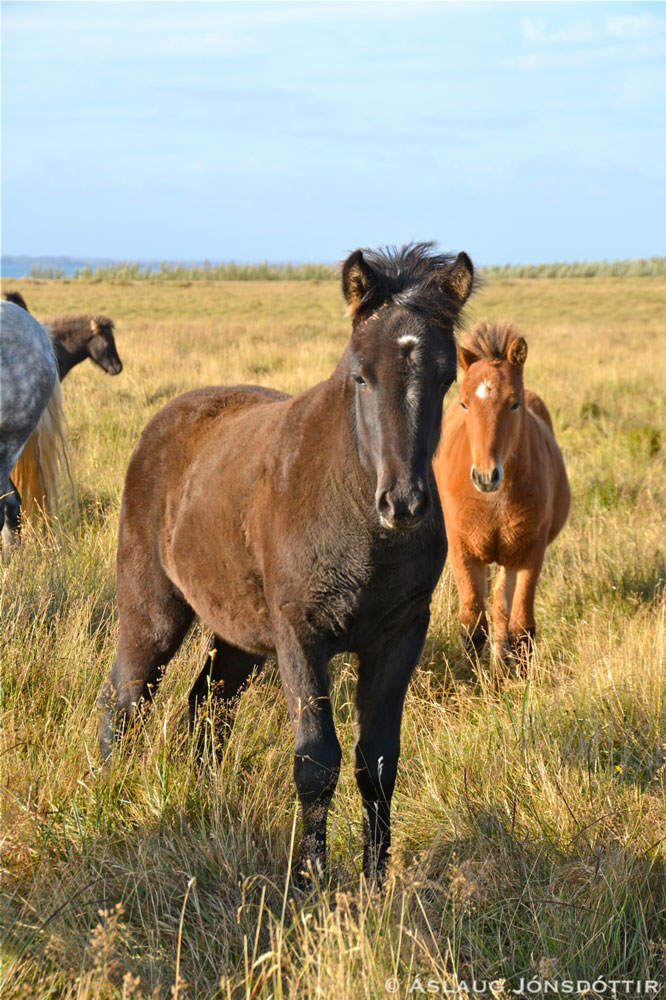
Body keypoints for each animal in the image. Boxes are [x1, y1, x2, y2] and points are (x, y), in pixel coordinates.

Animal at [99, 242, 475, 882]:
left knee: (207, 708)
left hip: (239, 636)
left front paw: (374, 883)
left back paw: (211, 805)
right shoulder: (301, 635)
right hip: (153, 612)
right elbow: (316, 760)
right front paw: (312, 879)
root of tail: (165, 421)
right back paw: (105, 794)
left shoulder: (400, 637)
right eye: (360, 375)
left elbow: (378, 761)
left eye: (447, 377)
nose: (403, 504)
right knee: (125, 699)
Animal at [433, 320, 570, 664]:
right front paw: (477, 674)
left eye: (514, 403)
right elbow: (472, 625)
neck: (493, 502)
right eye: (465, 403)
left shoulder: (529, 553)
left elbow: (521, 628)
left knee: (501, 608)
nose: (485, 476)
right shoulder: (462, 549)